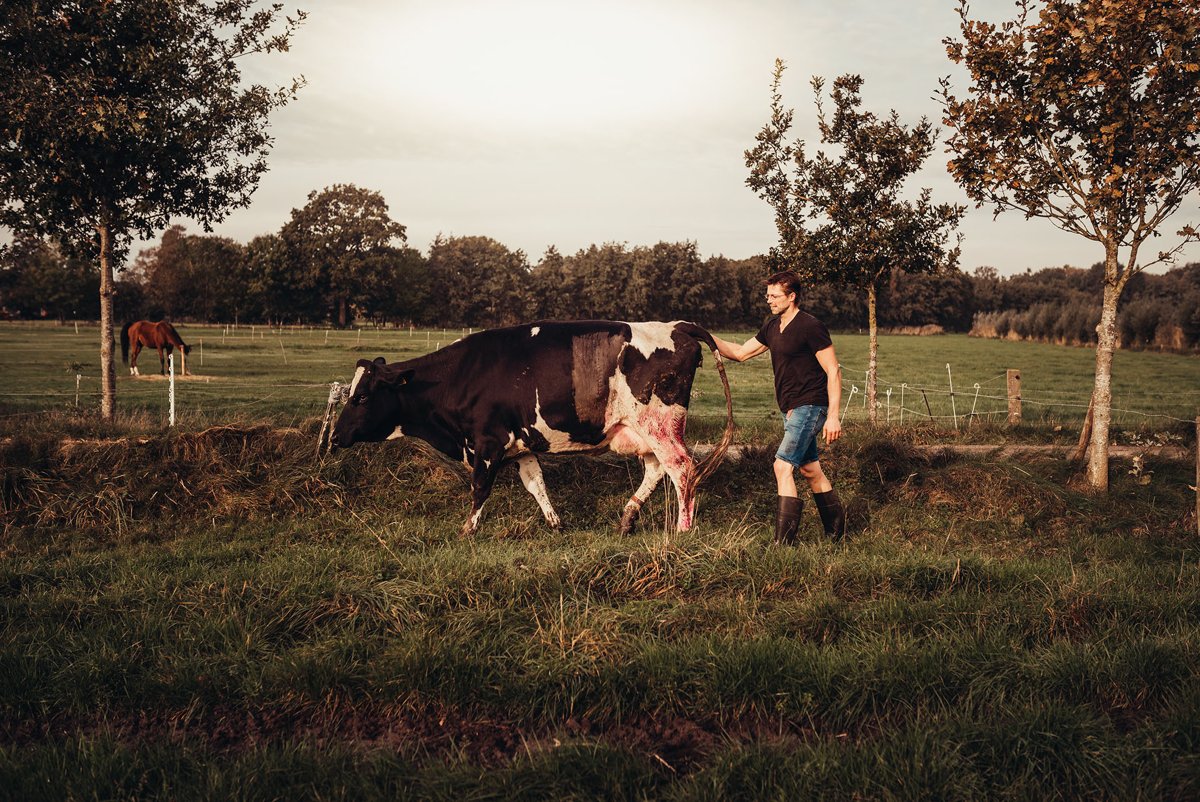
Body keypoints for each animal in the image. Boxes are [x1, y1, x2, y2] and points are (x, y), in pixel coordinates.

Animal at [333, 319, 734, 537]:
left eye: (362, 397)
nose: (335, 436)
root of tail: (678, 325)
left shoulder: (488, 442)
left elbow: (480, 487)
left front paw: (468, 529)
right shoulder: (522, 444)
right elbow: (535, 484)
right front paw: (556, 523)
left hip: (660, 425)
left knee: (682, 468)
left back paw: (682, 528)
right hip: (641, 431)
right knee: (656, 470)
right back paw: (627, 517)